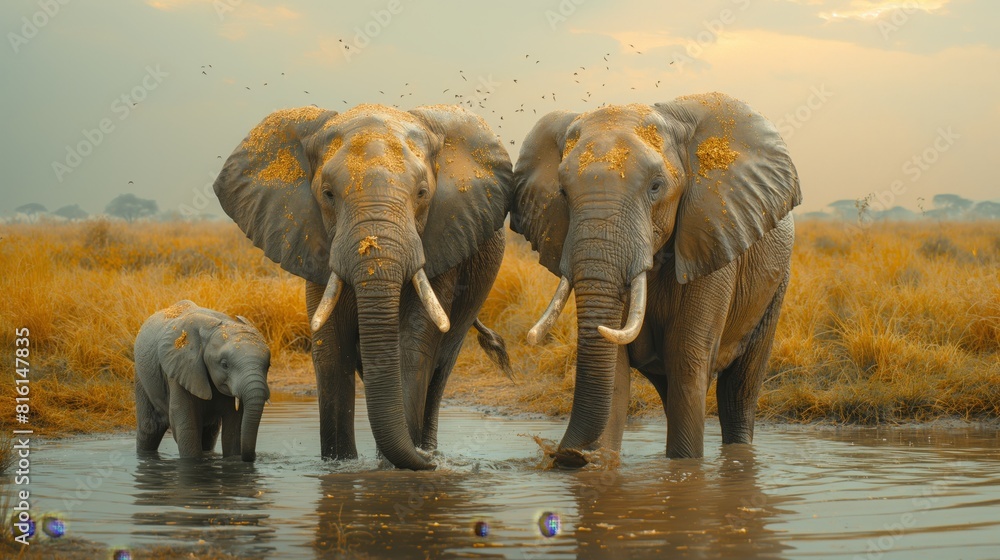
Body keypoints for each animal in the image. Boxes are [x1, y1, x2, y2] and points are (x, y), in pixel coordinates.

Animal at [134, 300, 271, 462]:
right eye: (224, 365)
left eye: (268, 366)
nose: (254, 457)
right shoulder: (180, 369)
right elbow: (186, 424)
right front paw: (192, 463)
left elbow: (234, 427)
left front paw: (233, 459)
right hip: (141, 377)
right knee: (149, 428)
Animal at [214, 103, 513, 470]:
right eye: (328, 194)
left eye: (422, 194)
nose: (425, 462)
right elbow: (330, 349)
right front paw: (339, 465)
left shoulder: (444, 239)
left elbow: (412, 346)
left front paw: (396, 468)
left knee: (440, 369)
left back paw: (428, 449)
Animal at [511, 92, 801, 465]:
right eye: (561, 192)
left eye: (655, 187)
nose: (566, 455)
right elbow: (616, 372)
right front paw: (601, 466)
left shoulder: (710, 237)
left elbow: (687, 358)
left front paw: (685, 468)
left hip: (776, 286)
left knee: (739, 391)